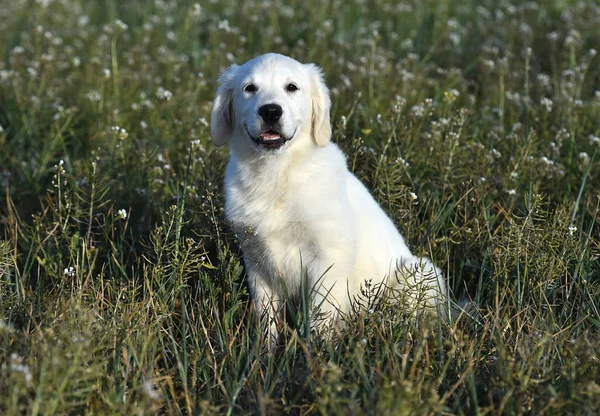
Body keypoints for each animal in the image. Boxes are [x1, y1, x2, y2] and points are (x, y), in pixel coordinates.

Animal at [211, 52, 446, 338]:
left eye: (292, 87)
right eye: (249, 88)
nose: (270, 111)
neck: (278, 174)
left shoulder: (328, 258)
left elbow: (319, 318)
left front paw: (314, 350)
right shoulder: (256, 261)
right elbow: (267, 321)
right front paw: (263, 350)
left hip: (419, 272)